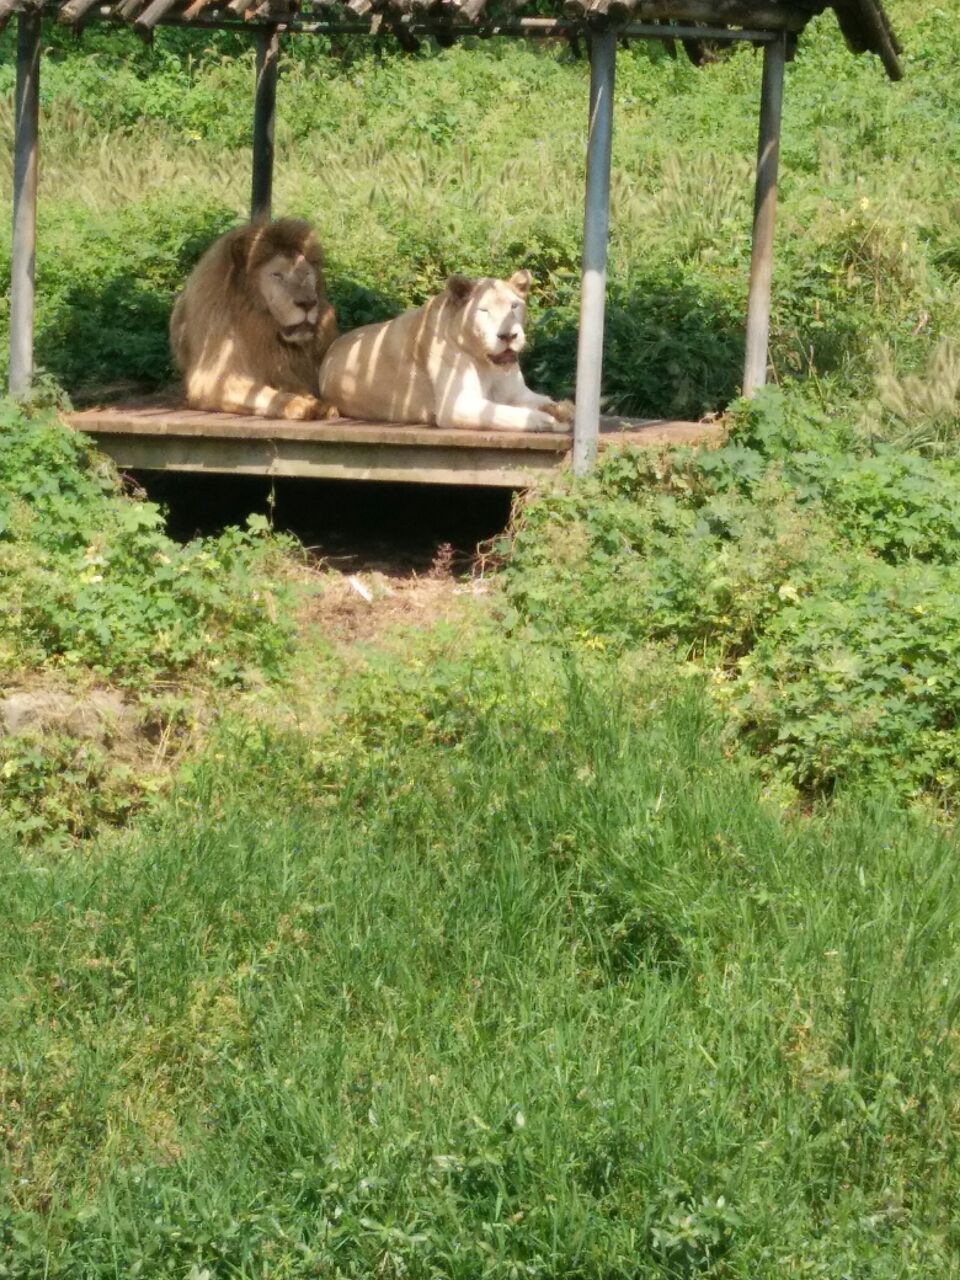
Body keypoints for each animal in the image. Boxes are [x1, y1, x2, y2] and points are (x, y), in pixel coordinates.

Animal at [171, 217, 340, 419]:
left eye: (307, 274)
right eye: (277, 275)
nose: (308, 303)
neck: (262, 326)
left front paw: (320, 403)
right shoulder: (210, 379)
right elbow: (264, 393)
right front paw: (301, 404)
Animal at [316, 270, 576, 430]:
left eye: (514, 306)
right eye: (483, 311)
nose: (508, 336)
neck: (486, 363)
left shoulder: (517, 393)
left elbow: (541, 400)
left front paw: (564, 409)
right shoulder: (455, 405)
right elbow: (507, 414)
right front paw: (551, 420)